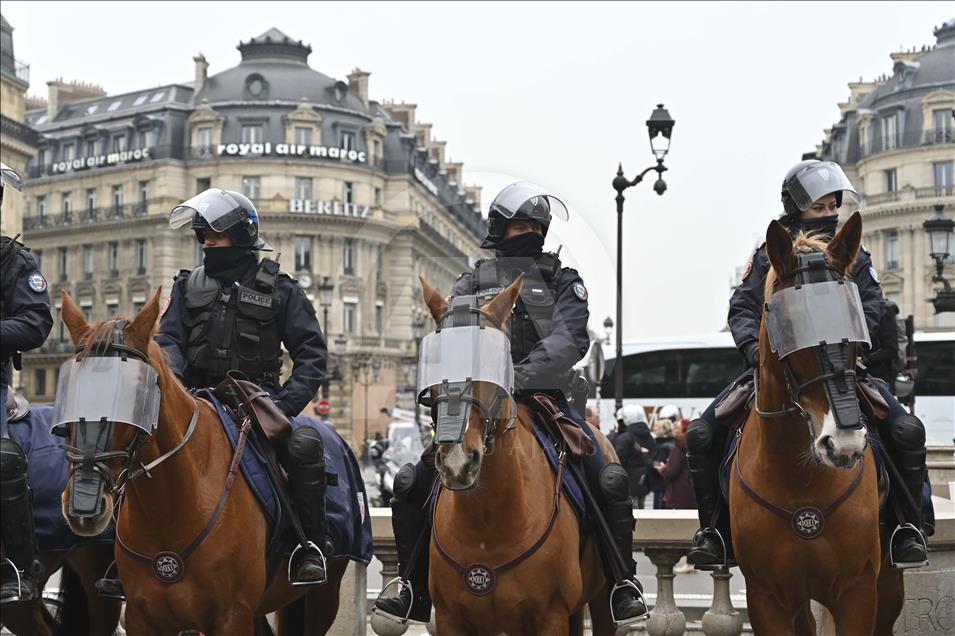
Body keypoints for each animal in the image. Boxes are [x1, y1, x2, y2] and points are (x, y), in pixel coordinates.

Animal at [57, 290, 348, 632]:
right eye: (68, 392)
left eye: (135, 393)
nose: (83, 506)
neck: (170, 512)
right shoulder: (142, 618)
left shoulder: (231, 617)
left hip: (322, 598)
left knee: (304, 447)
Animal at [420, 278, 616, 636]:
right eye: (434, 361)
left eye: (494, 359)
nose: (457, 462)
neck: (488, 524)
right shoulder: (451, 618)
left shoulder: (550, 617)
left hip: (598, 598)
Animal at [732, 215, 904, 636]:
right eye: (791, 325)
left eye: (854, 320)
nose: (843, 444)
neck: (800, 486)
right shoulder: (767, 598)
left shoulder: (858, 592)